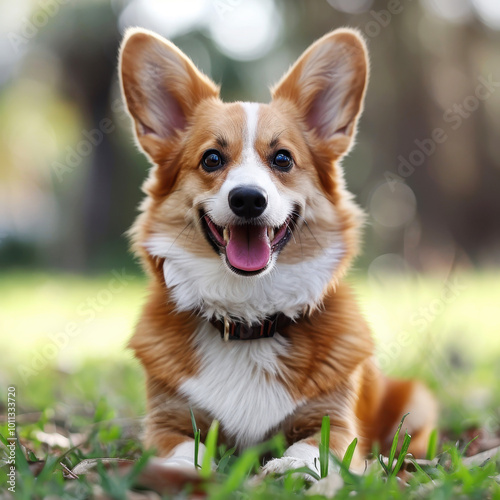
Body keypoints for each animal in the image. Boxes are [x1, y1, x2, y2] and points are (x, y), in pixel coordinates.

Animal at [119, 29, 436, 474]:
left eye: (282, 158)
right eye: (212, 159)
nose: (248, 199)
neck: (249, 319)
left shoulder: (337, 425)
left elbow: (312, 450)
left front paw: (289, 469)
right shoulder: (166, 422)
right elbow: (182, 450)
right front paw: (180, 470)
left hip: (417, 401)